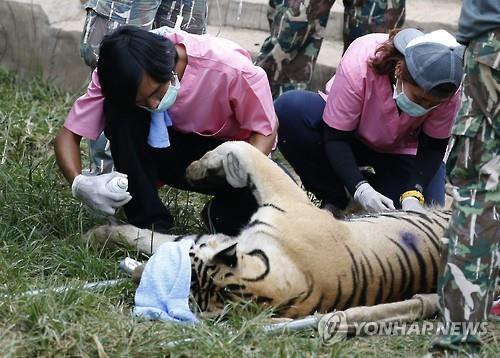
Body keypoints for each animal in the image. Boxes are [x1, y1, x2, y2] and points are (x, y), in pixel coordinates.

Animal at [84, 141, 448, 318]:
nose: (136, 277)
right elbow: (152, 237)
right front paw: (99, 235)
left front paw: (196, 168)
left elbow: (240, 146)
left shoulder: (284, 196)